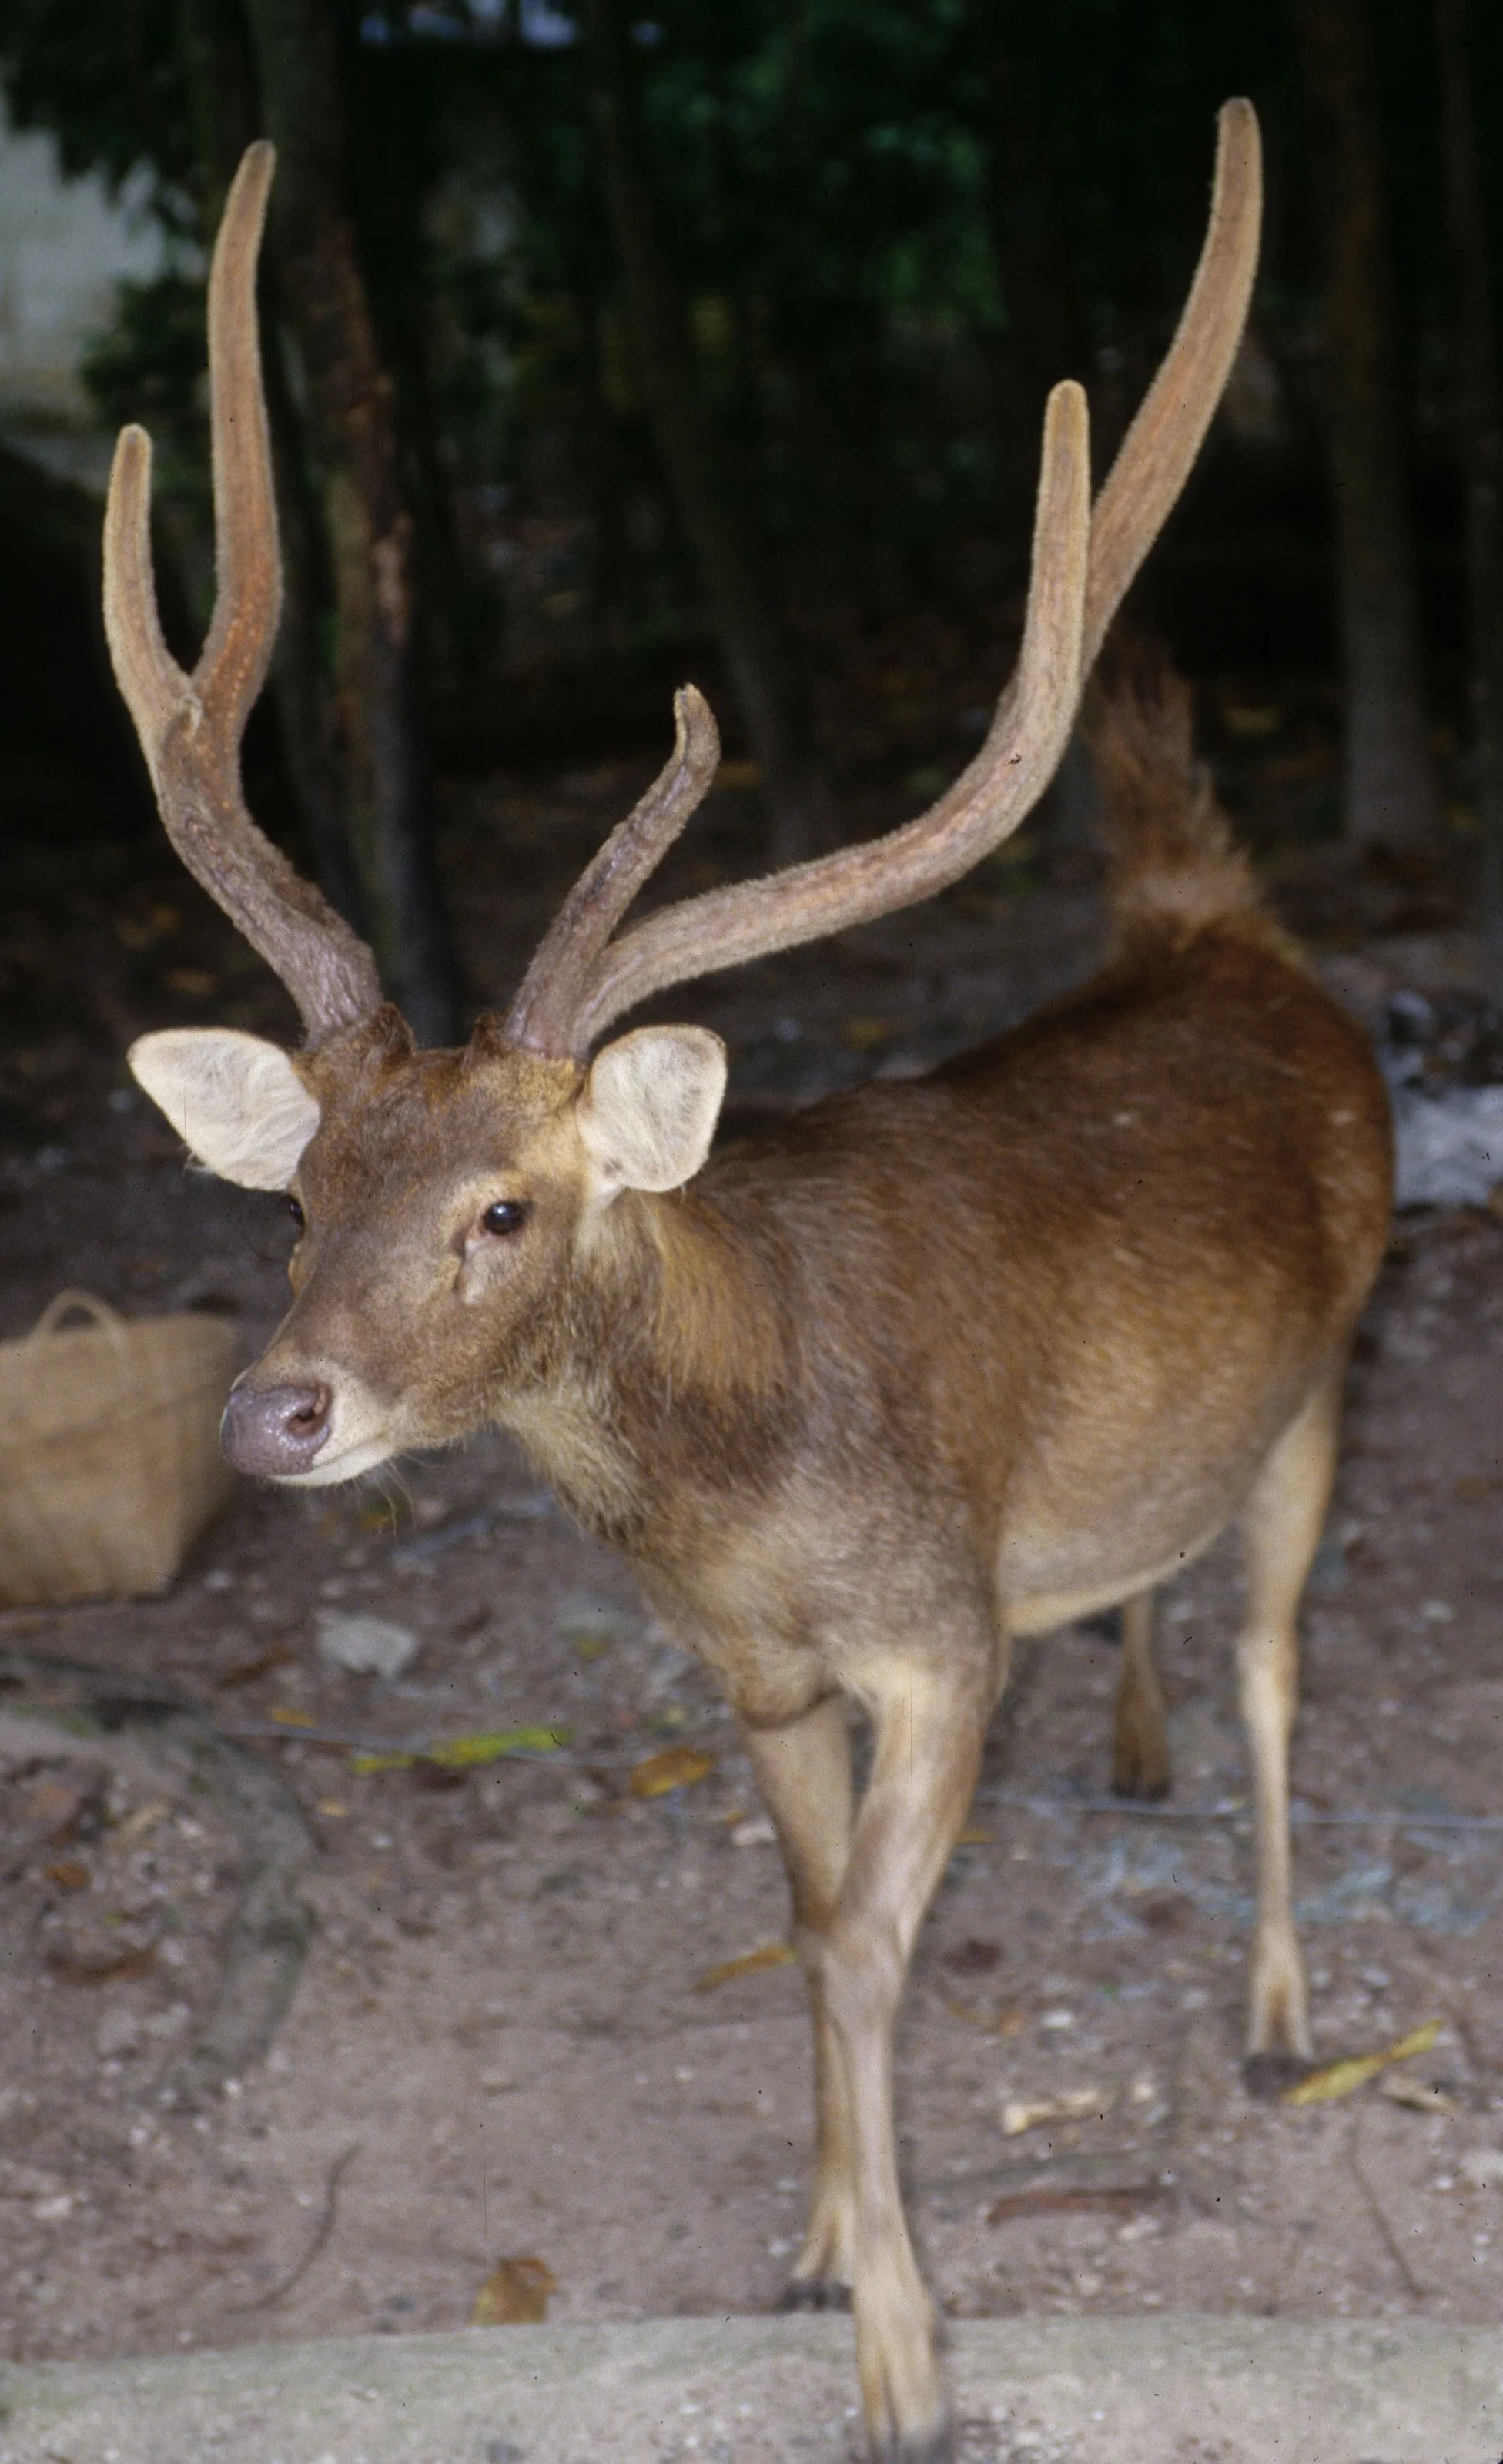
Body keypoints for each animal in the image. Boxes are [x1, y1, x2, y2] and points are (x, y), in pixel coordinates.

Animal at [105, 107, 1391, 2463]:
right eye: (296, 1196)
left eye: (505, 1209)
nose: (275, 1410)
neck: (744, 1502)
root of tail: (1219, 929)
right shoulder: (757, 1677)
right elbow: (798, 1924)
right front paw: (805, 2247)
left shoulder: (940, 1633)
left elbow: (874, 1948)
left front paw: (904, 2358)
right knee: (1158, 1595)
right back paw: (1137, 1738)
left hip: (1344, 1351)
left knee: (1274, 1662)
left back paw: (1273, 2011)